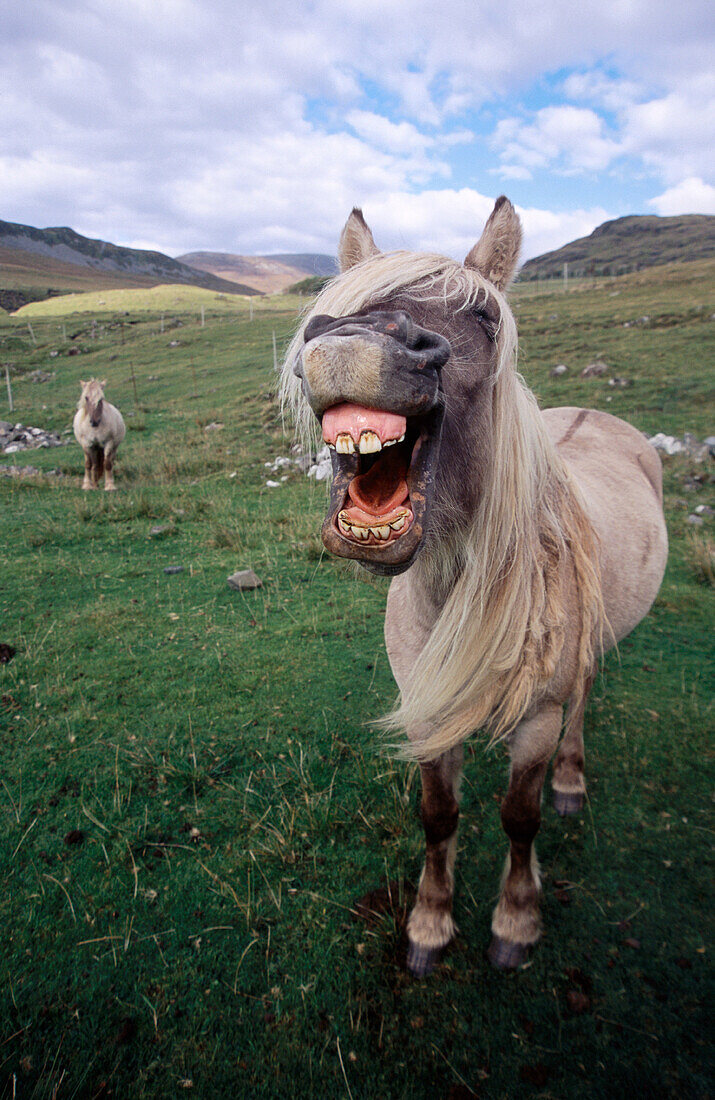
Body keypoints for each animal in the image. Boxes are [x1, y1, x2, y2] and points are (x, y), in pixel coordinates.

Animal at [281, 195, 664, 972]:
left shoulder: (537, 718)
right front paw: (429, 924)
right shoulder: (426, 713)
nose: (351, 341)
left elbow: (519, 818)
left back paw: (571, 781)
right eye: (342, 306)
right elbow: (438, 815)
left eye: (485, 318)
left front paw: (515, 921)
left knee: (582, 701)